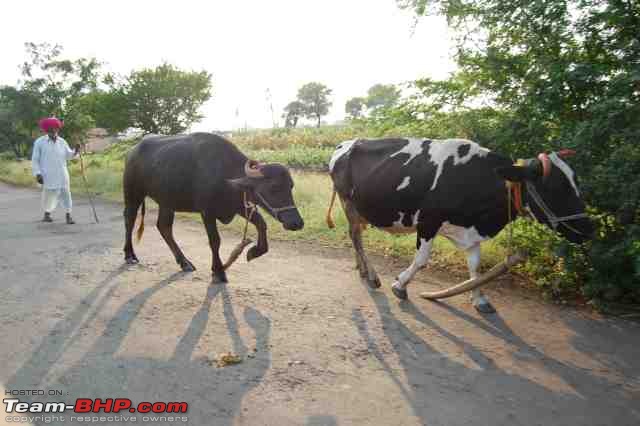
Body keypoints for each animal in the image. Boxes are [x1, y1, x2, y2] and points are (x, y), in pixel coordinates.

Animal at [125, 131, 308, 282]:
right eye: (273, 188)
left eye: (290, 186)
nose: (296, 223)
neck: (225, 177)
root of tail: (132, 152)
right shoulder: (207, 212)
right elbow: (215, 240)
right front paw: (218, 270)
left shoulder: (239, 206)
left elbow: (261, 224)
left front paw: (254, 252)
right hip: (133, 194)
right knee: (130, 220)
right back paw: (130, 255)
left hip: (167, 202)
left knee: (164, 227)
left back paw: (184, 262)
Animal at [328, 140, 592, 312]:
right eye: (555, 188)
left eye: (577, 182)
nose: (589, 230)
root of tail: (348, 143)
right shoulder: (428, 221)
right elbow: (421, 260)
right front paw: (400, 285)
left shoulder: (471, 232)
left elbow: (475, 267)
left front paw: (480, 299)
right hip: (347, 201)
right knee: (355, 237)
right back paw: (372, 276)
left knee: (355, 237)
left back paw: (362, 270)